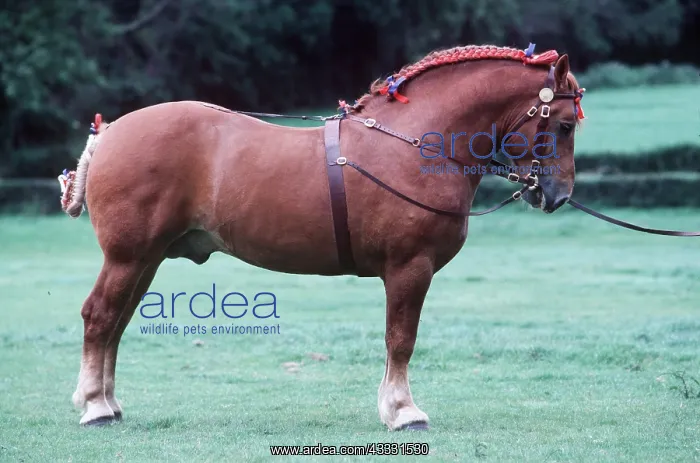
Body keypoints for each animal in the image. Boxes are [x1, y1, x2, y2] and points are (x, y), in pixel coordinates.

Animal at [61, 44, 583, 430]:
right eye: (563, 124)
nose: (557, 194)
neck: (412, 143)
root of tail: (110, 133)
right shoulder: (409, 267)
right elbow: (401, 338)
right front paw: (403, 411)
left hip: (144, 260)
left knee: (116, 322)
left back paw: (108, 402)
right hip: (128, 257)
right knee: (100, 317)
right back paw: (95, 405)